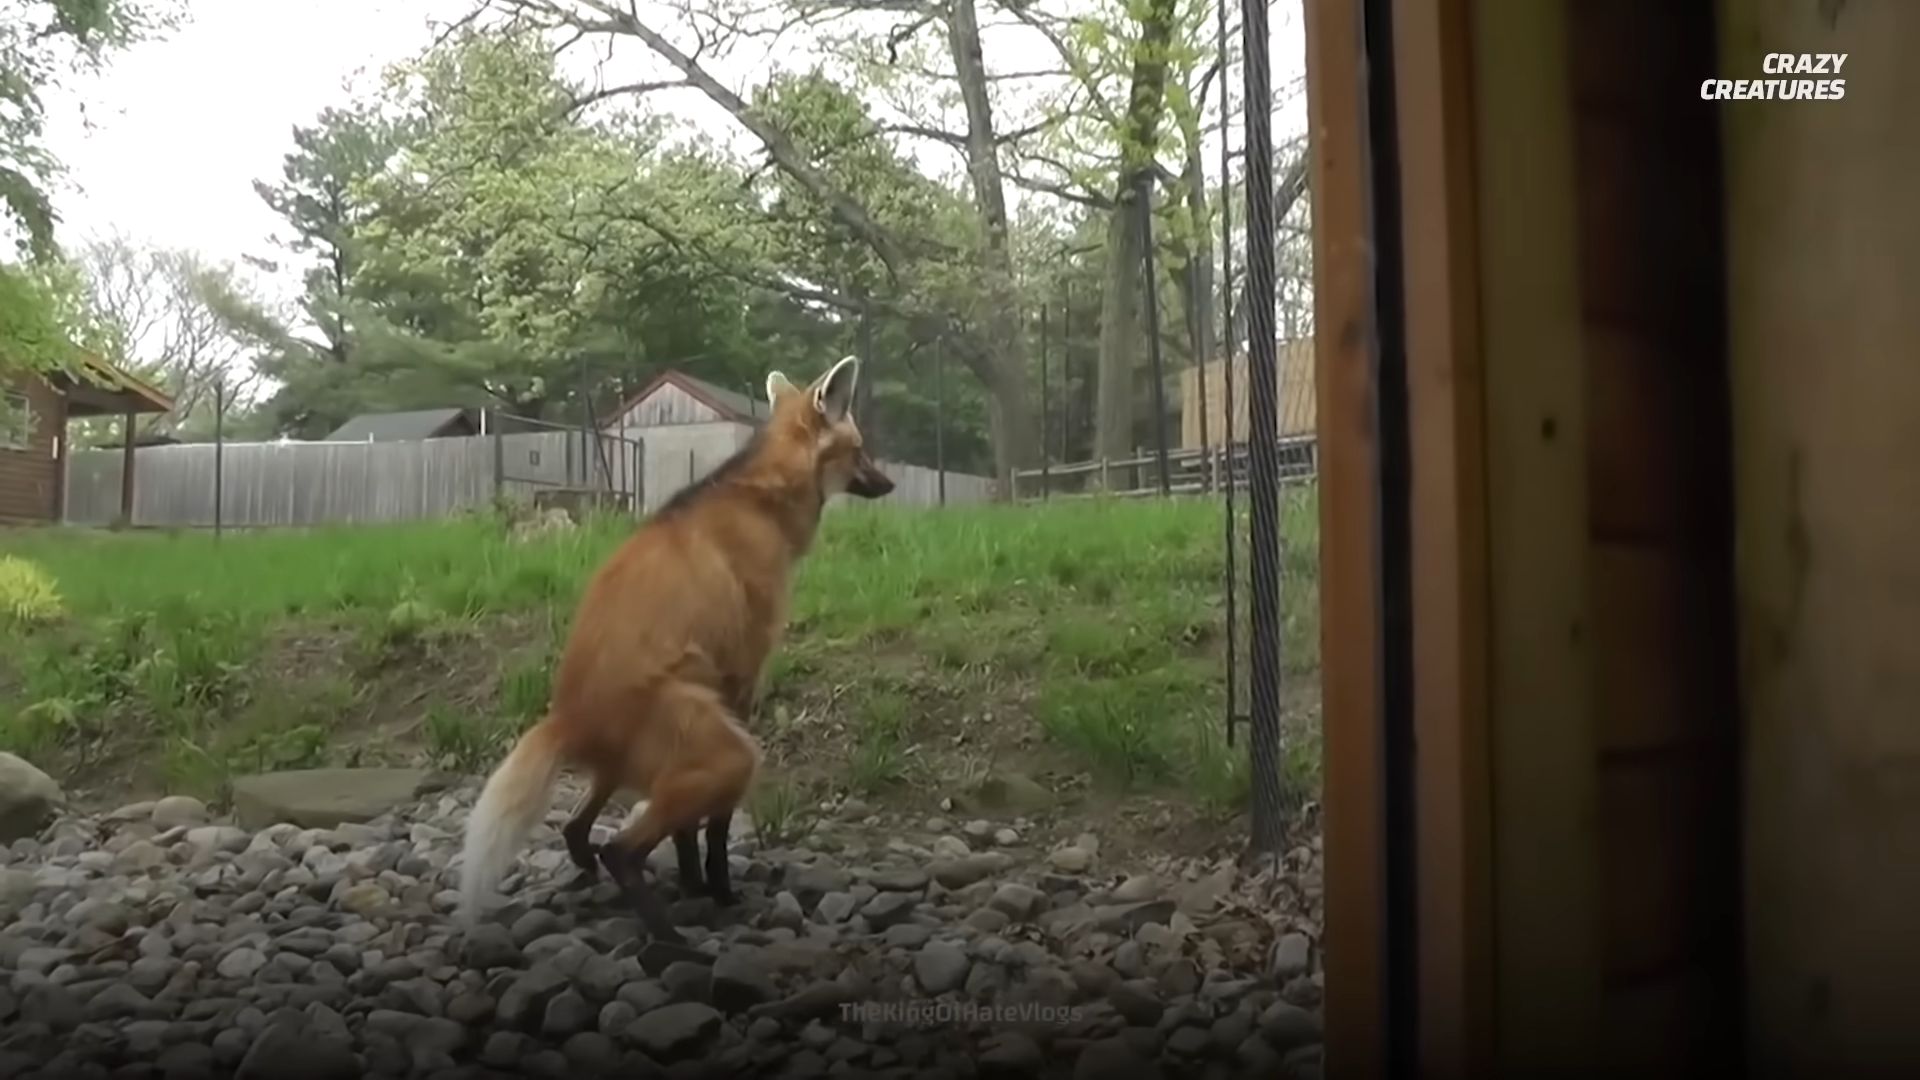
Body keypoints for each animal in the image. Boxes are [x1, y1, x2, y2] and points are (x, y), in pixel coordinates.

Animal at [456, 355, 895, 943]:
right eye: (861, 449)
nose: (890, 482)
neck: (760, 500)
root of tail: (565, 717)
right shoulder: (741, 675)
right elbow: (716, 829)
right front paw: (717, 889)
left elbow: (690, 832)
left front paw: (693, 883)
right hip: (728, 750)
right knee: (619, 850)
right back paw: (669, 940)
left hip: (634, 765)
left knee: (577, 830)